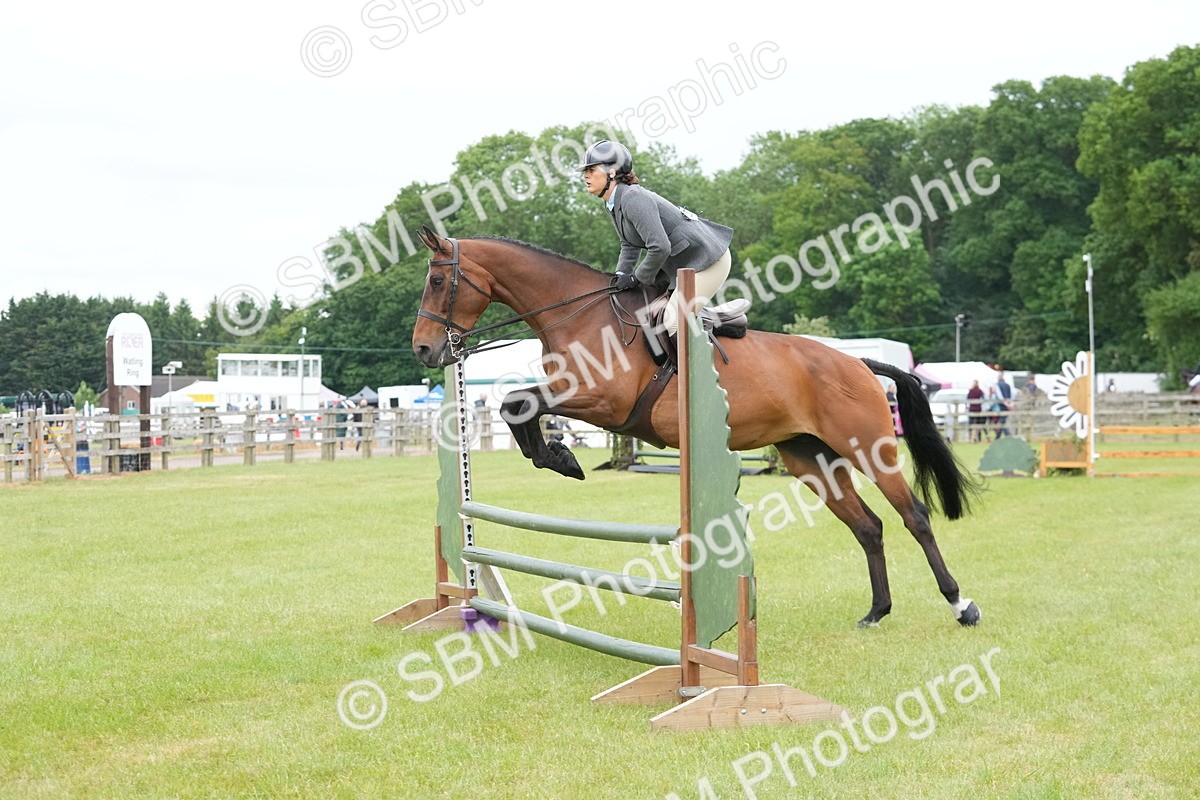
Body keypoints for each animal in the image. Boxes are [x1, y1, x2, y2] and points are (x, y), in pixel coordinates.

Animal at [411, 227, 982, 628]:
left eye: (437, 281)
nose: (424, 350)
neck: (579, 316)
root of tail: (859, 363)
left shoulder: (603, 402)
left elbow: (517, 403)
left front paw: (562, 458)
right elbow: (518, 405)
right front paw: (557, 457)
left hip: (867, 446)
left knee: (914, 517)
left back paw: (961, 605)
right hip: (809, 458)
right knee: (868, 526)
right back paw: (876, 612)